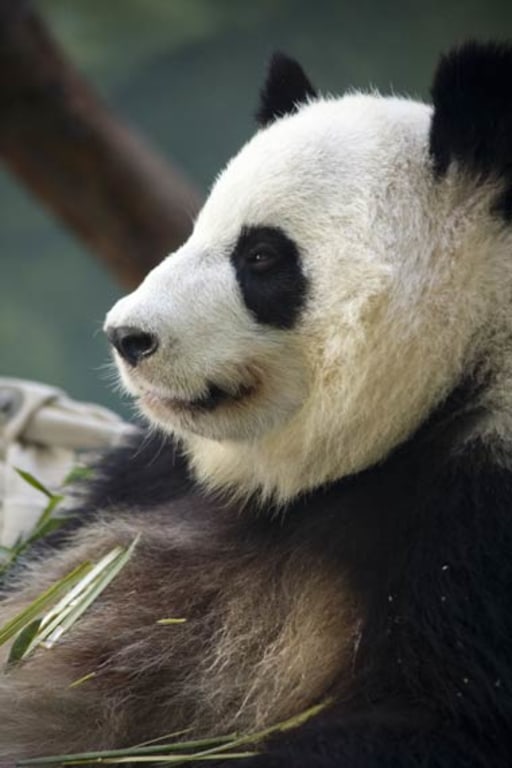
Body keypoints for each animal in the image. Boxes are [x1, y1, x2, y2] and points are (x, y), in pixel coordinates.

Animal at [1, 40, 512, 768]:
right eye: (194, 231)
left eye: (262, 256)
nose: (127, 336)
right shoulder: (148, 474)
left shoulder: (477, 512)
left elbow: (442, 718)